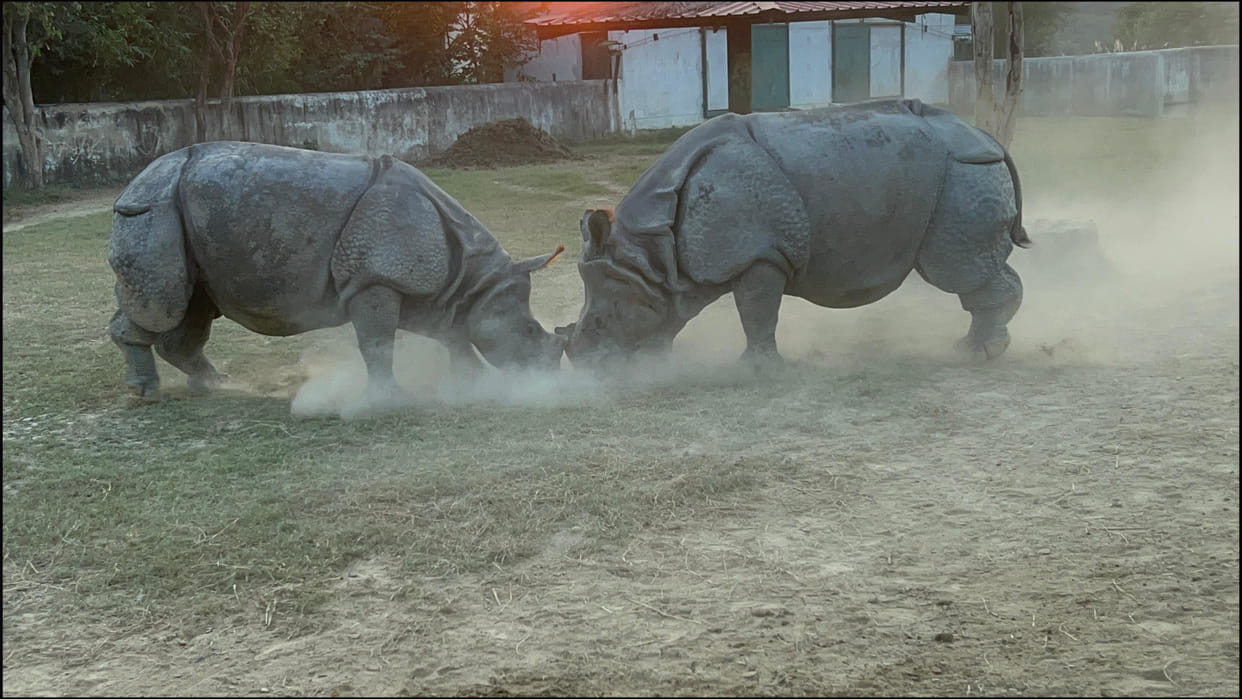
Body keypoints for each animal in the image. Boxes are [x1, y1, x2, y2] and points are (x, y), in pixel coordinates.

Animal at [107, 141, 565, 406]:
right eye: (529, 332)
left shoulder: (420, 288)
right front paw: (391, 401)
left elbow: (451, 333)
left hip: (180, 222)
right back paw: (146, 394)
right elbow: (378, 343)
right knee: (164, 303)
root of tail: (134, 184)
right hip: (154, 212)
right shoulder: (375, 278)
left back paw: (214, 384)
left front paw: (471, 384)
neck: (475, 279)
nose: (547, 376)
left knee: (194, 306)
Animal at [558, 99, 1030, 369]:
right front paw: (659, 364)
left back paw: (976, 354)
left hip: (965, 173)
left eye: (600, 323)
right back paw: (972, 347)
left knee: (956, 270)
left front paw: (754, 370)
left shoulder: (760, 254)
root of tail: (987, 137)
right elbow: (684, 316)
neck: (652, 251)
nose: (587, 369)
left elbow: (757, 312)